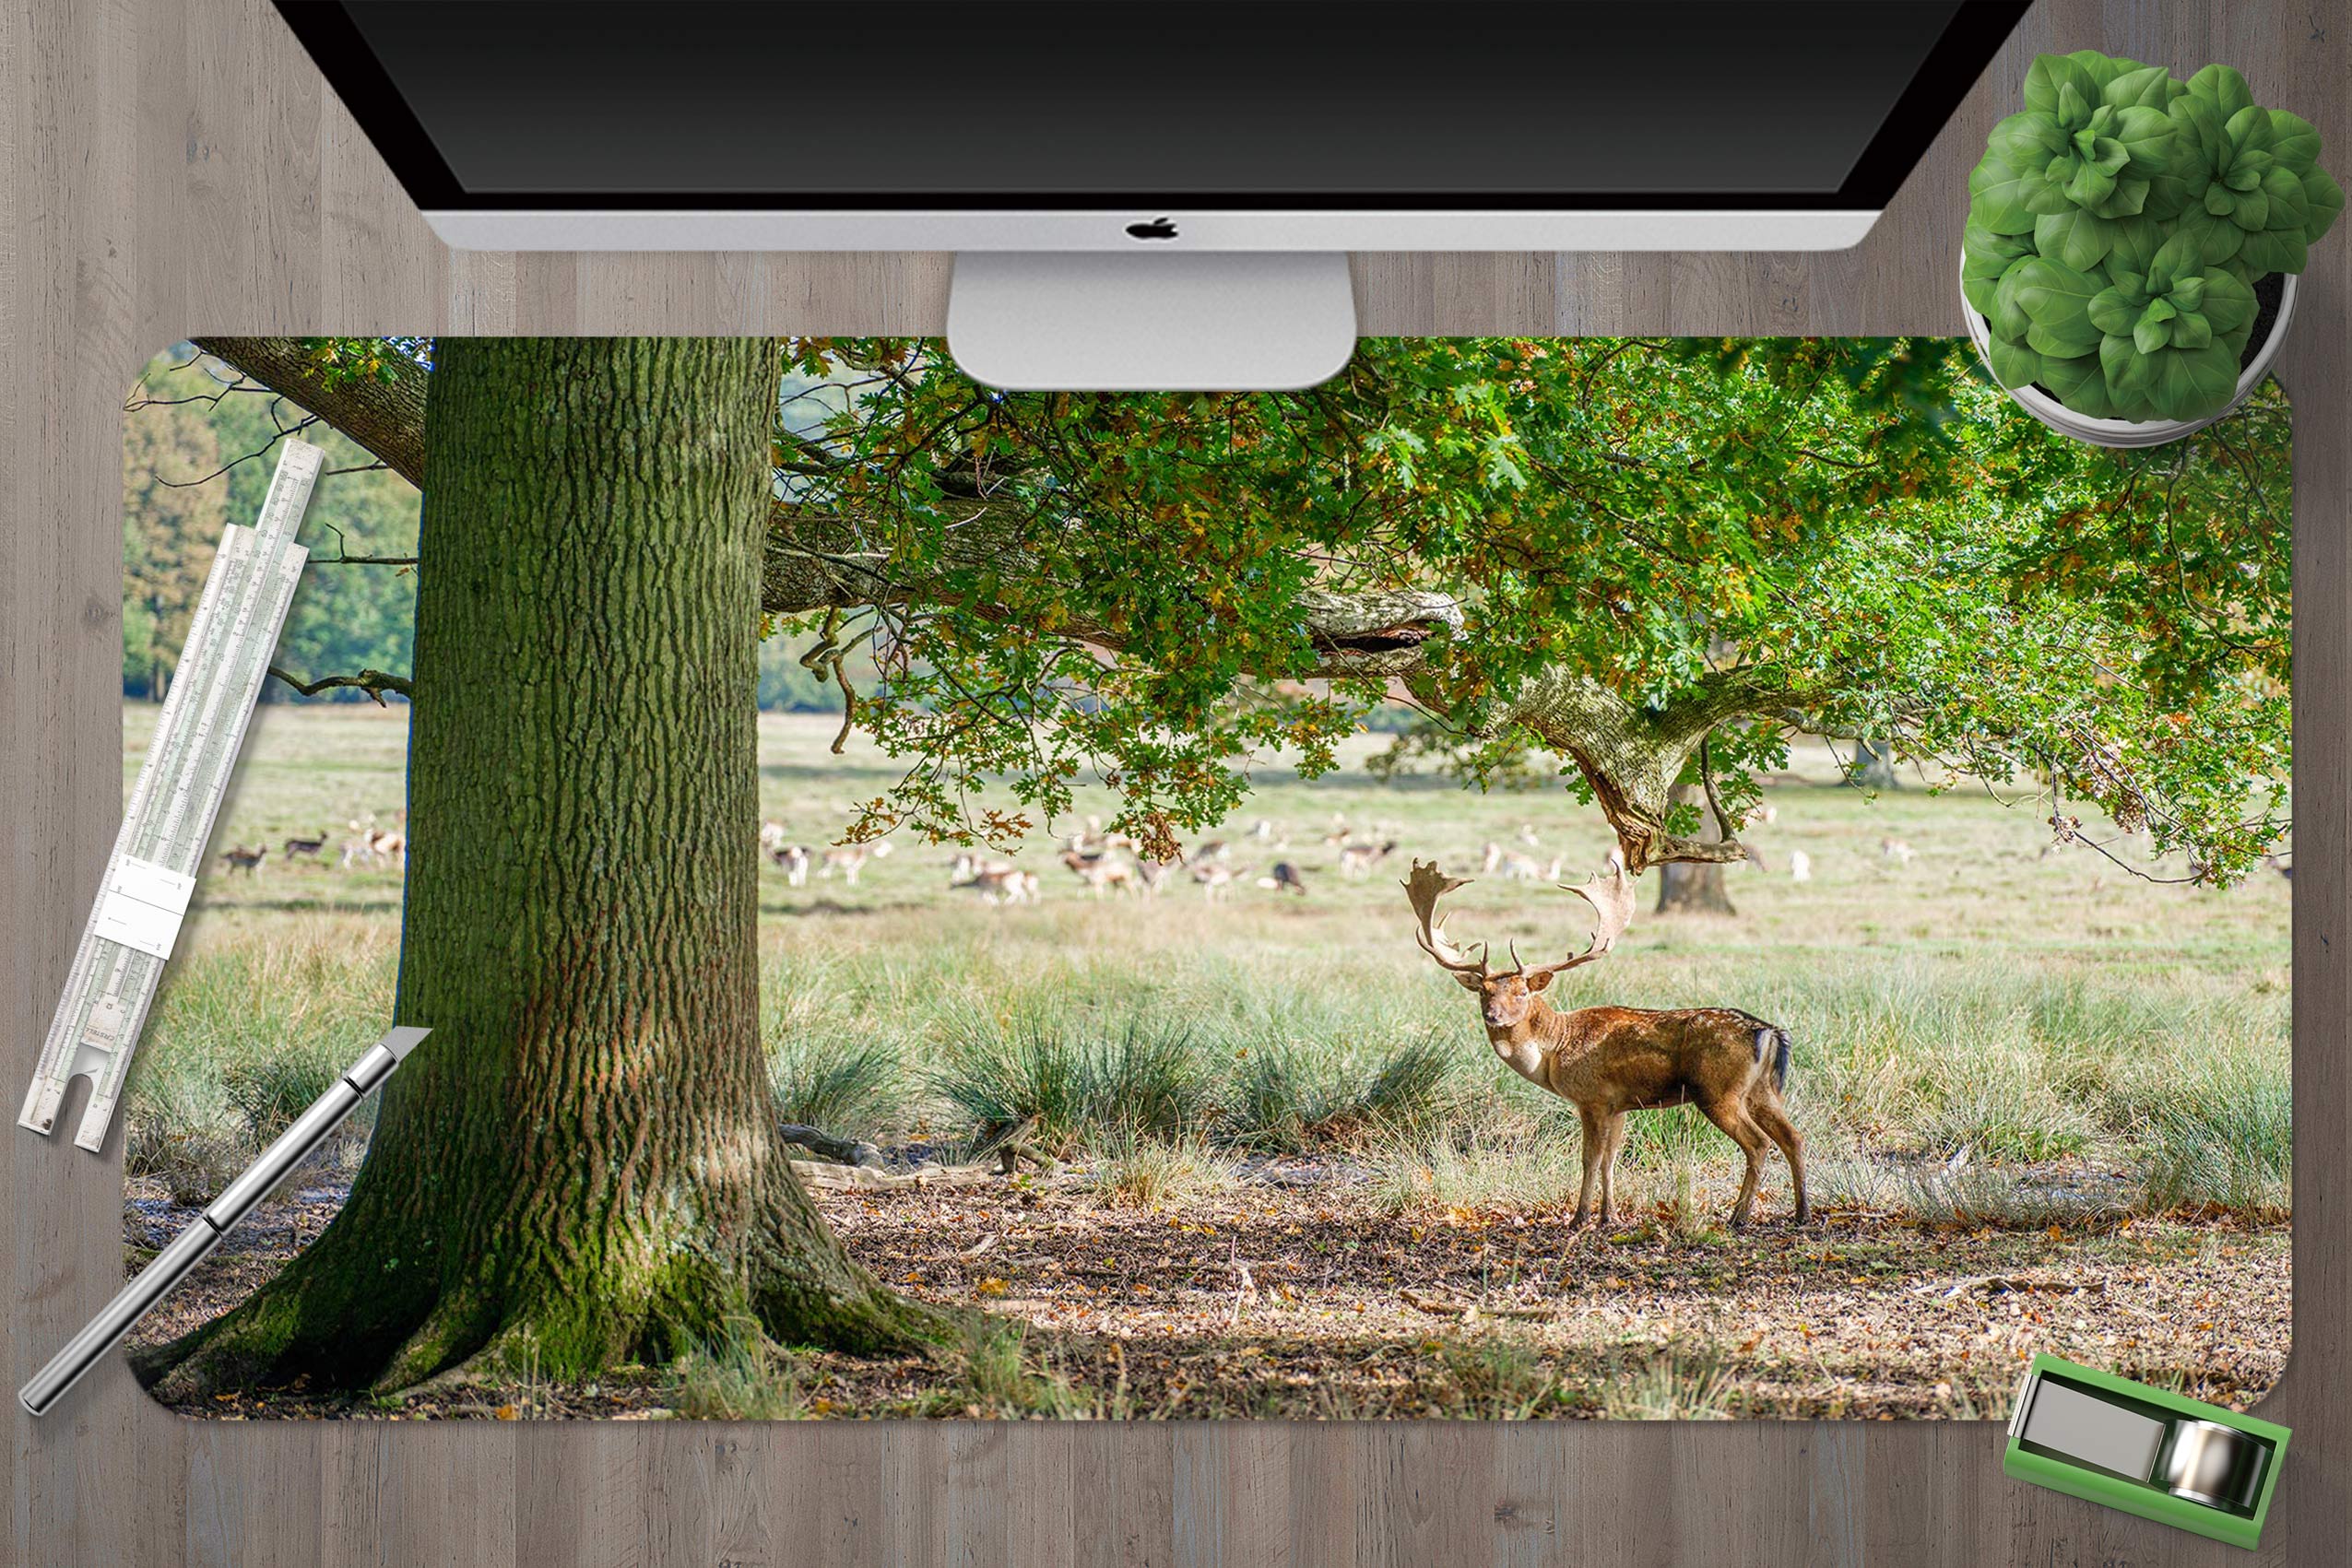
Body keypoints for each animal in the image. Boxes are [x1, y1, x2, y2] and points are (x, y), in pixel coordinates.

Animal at [1403, 857, 1807, 1230]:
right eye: (1484, 992)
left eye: (1521, 992)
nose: (1493, 1015)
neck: (1555, 1049)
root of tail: (1769, 1033)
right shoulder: (1619, 1105)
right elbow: (1611, 1160)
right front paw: (1608, 1216)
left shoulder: (1592, 1098)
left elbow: (1590, 1159)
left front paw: (1580, 1217)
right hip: (1763, 1090)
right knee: (1793, 1137)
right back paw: (1801, 1212)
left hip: (1718, 1090)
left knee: (1759, 1144)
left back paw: (1739, 1216)